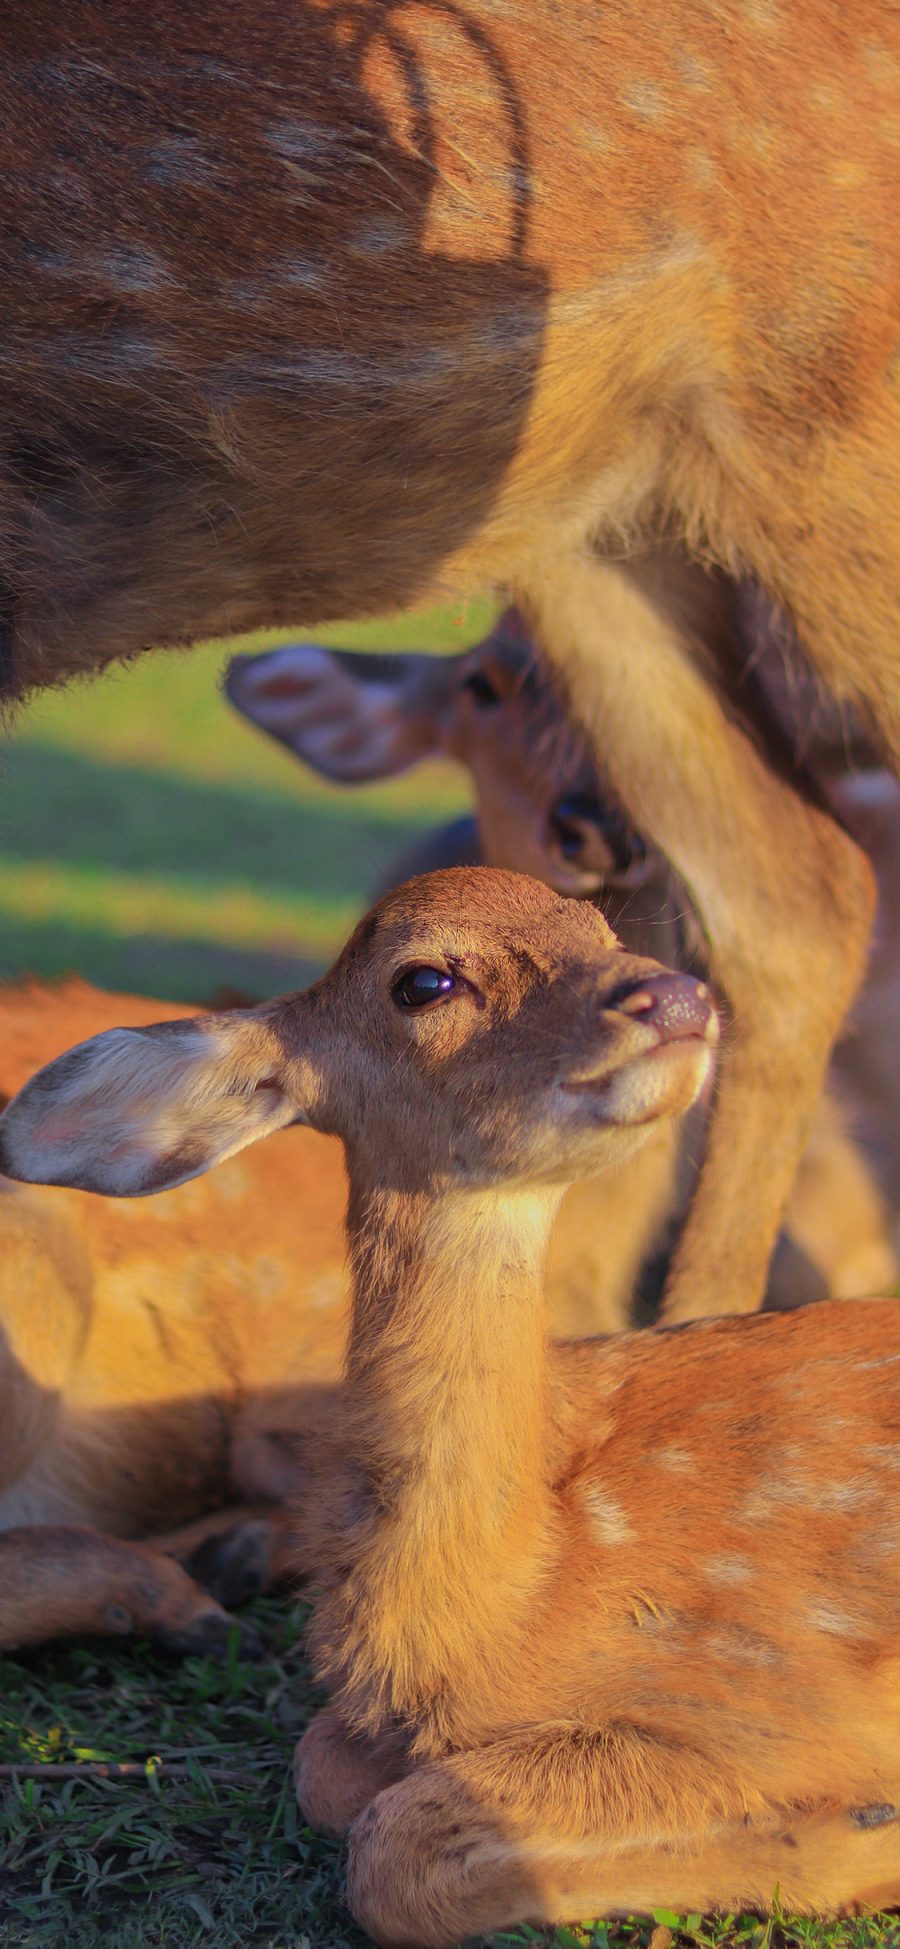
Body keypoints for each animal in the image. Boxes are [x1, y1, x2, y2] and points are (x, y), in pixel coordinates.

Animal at [3, 877, 896, 1941]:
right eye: (423, 980)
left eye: (602, 930)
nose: (679, 996)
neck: (516, 1589)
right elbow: (333, 1779)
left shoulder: (777, 1692)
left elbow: (391, 1844)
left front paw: (863, 1829)